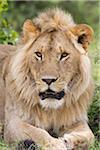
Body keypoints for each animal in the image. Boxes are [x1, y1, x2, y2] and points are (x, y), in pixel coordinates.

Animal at [0, 8, 94, 149]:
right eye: (39, 54)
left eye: (64, 55)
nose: (48, 80)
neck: (51, 110)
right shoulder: (13, 123)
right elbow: (38, 133)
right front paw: (56, 144)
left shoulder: (75, 120)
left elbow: (90, 136)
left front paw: (67, 140)